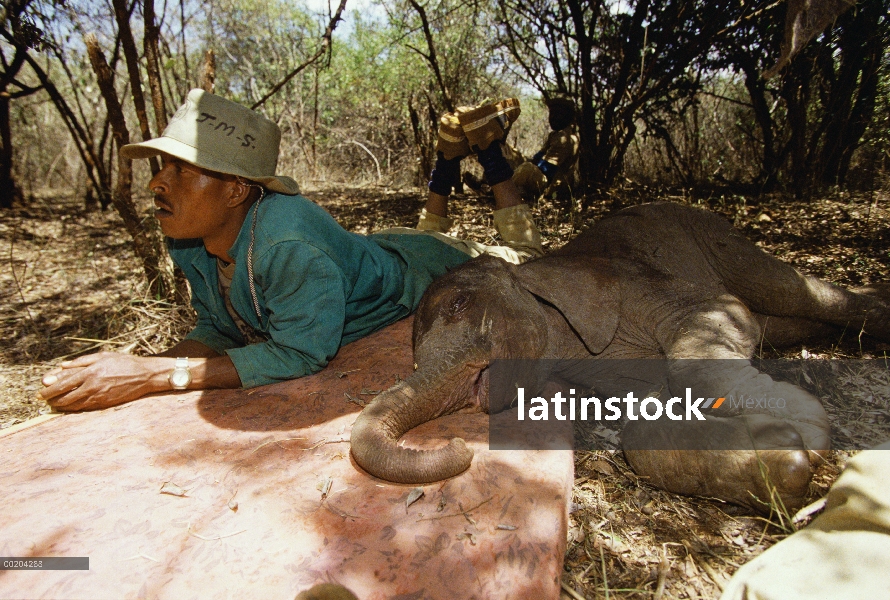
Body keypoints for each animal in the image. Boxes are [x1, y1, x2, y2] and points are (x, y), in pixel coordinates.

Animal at [350, 202, 884, 510]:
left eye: (460, 304)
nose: (460, 446)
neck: (533, 270)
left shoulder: (636, 285)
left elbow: (718, 316)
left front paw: (808, 426)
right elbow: (642, 425)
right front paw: (784, 457)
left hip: (716, 237)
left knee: (789, 291)